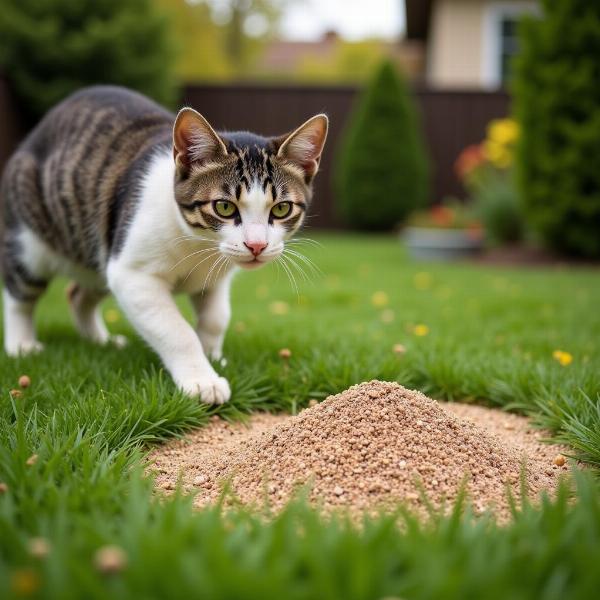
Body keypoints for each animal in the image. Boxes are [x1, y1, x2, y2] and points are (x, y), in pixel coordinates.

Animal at [0, 85, 328, 404]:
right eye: (224, 207)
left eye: (281, 209)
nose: (257, 245)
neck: (198, 245)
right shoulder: (132, 274)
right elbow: (175, 329)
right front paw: (202, 379)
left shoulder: (215, 278)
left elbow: (216, 318)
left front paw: (213, 356)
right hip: (31, 242)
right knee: (20, 293)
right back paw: (22, 345)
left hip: (98, 252)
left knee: (77, 294)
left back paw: (100, 341)